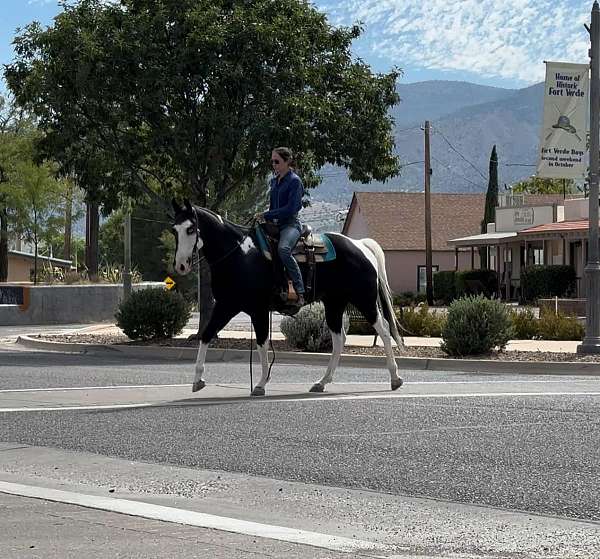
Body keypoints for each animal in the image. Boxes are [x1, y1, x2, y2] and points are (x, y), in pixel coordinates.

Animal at [171, 199, 406, 396]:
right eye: (174, 230)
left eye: (191, 229)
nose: (180, 265)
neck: (240, 255)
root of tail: (360, 245)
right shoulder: (226, 306)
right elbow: (206, 335)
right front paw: (197, 380)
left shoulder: (258, 310)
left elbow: (262, 344)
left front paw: (260, 384)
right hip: (334, 304)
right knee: (339, 340)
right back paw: (322, 382)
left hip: (365, 301)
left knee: (384, 332)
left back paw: (395, 378)